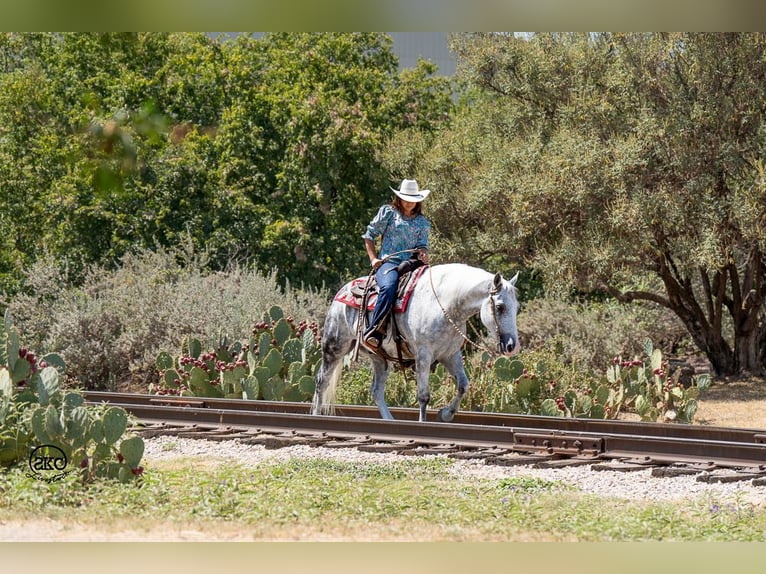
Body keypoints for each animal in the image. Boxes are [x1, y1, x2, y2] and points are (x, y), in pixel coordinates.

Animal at [312, 266, 520, 424]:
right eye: (500, 307)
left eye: (516, 307)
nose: (512, 346)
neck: (446, 305)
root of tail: (343, 290)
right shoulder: (423, 355)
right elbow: (424, 396)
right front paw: (423, 423)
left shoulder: (450, 354)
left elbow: (463, 386)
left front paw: (445, 414)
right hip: (334, 346)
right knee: (322, 381)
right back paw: (315, 415)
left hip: (379, 358)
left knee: (376, 390)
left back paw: (390, 420)